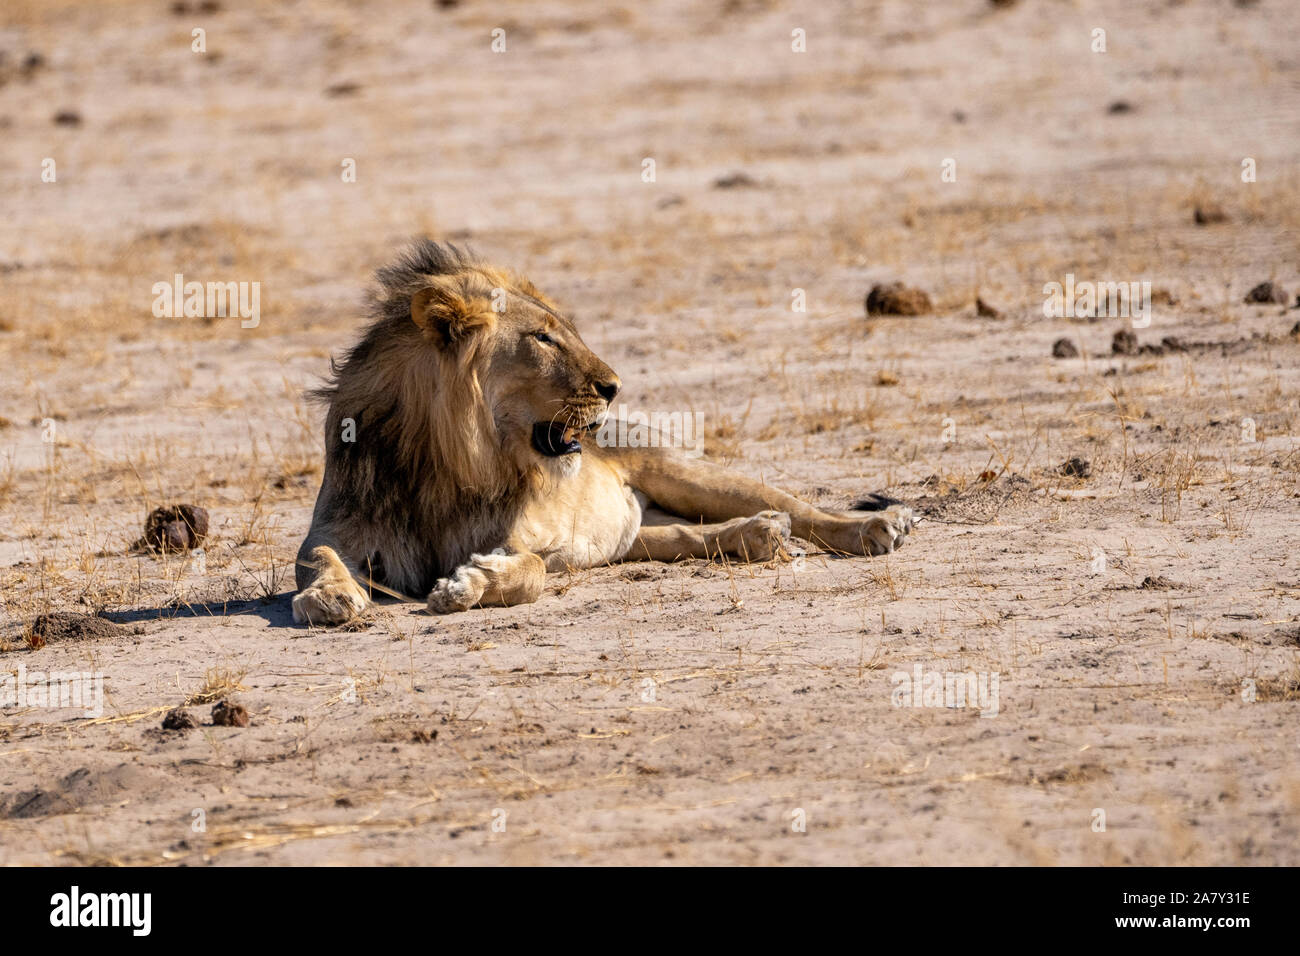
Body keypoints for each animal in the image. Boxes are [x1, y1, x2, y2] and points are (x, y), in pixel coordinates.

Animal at [292, 243, 915, 624]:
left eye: (566, 331)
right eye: (543, 339)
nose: (614, 387)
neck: (450, 463)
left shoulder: (538, 542)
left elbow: (529, 571)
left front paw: (467, 584)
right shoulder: (337, 525)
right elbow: (319, 554)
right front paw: (331, 595)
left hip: (682, 472)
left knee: (800, 506)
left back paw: (878, 525)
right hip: (633, 534)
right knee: (683, 535)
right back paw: (761, 535)